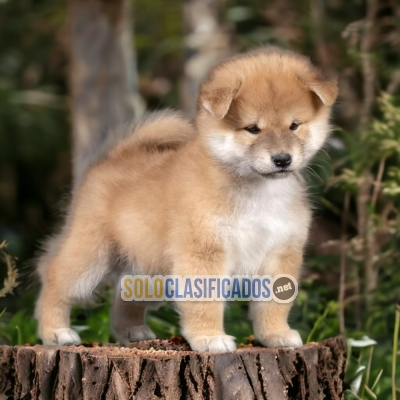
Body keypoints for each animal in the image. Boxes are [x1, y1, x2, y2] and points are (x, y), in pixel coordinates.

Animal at [36, 47, 340, 352]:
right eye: (253, 128)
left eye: (294, 126)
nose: (282, 159)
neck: (256, 191)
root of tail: (114, 156)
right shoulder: (205, 251)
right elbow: (206, 303)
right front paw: (210, 338)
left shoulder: (280, 251)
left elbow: (274, 304)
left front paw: (276, 335)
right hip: (91, 255)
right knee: (54, 276)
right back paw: (56, 332)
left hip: (149, 266)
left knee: (124, 292)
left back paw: (133, 331)